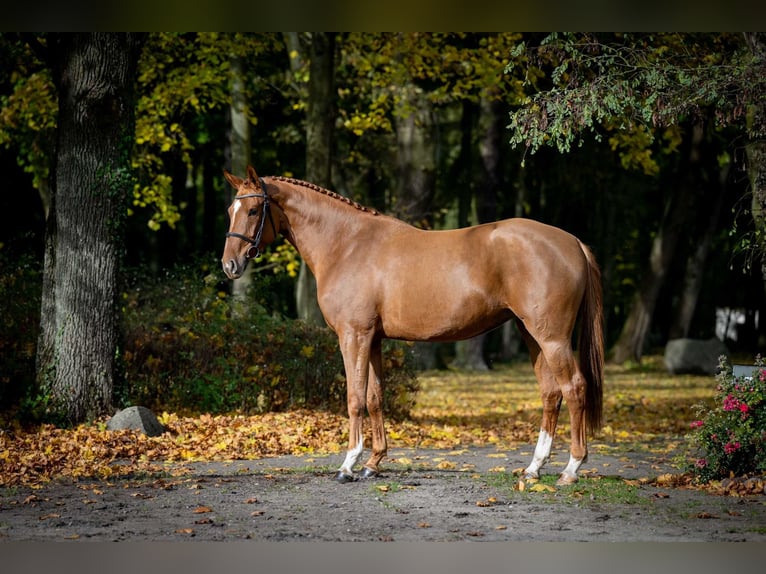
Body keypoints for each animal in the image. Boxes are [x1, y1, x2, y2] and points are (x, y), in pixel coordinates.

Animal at [221, 165, 604, 485]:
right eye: (230, 211)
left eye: (253, 211)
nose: (230, 265)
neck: (347, 244)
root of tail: (572, 242)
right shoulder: (373, 339)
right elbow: (375, 397)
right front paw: (373, 463)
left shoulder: (353, 336)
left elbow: (354, 398)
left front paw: (348, 465)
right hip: (532, 336)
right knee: (551, 394)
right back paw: (534, 468)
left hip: (552, 338)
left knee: (574, 389)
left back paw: (571, 469)